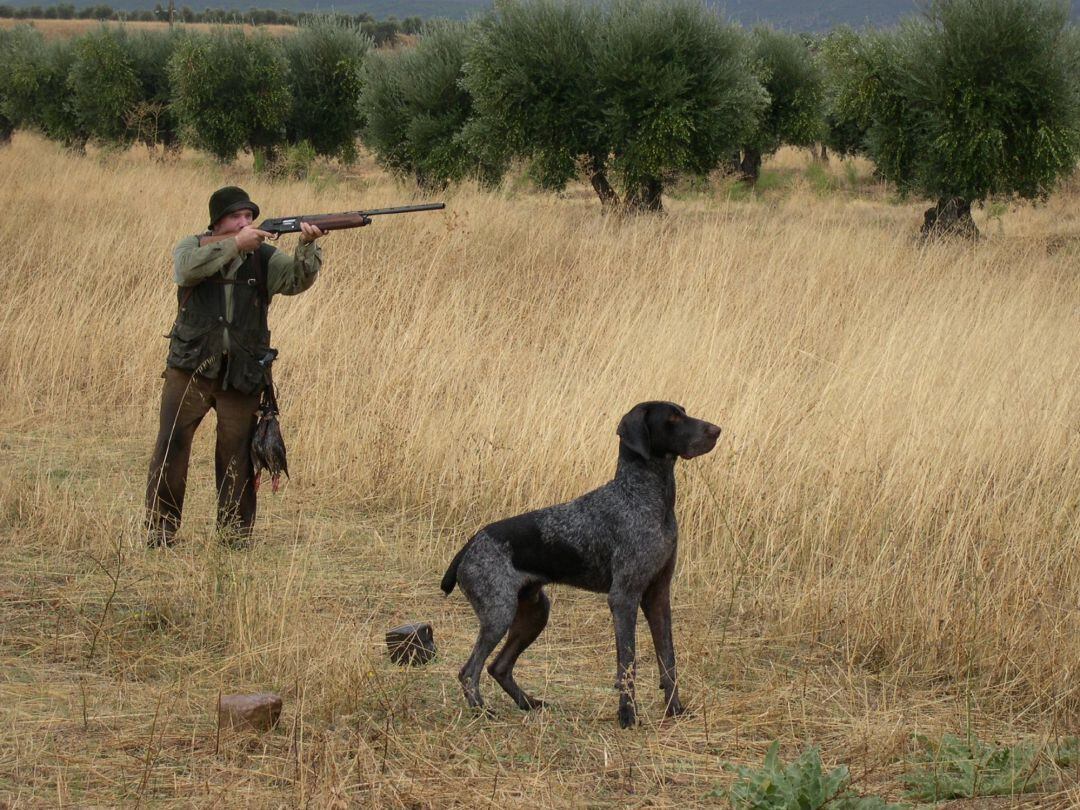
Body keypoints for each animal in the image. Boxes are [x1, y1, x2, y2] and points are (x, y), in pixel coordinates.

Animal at [438, 401, 717, 730]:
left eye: (683, 411)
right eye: (672, 417)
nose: (716, 430)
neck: (644, 497)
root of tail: (470, 544)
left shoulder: (658, 596)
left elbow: (668, 659)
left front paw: (675, 710)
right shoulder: (624, 597)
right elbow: (627, 662)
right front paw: (627, 716)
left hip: (535, 613)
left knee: (499, 666)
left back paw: (528, 703)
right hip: (498, 614)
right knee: (470, 670)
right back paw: (482, 711)